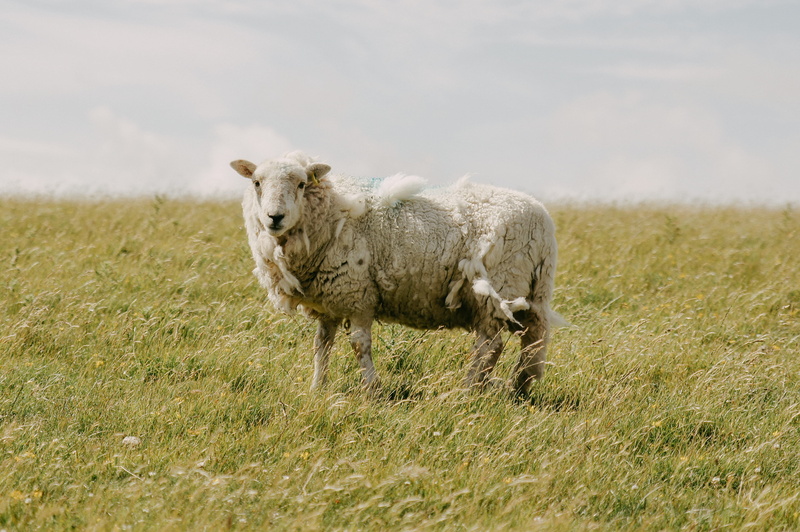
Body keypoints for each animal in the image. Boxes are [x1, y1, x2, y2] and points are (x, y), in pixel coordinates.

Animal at [230, 151, 566, 395]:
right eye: (257, 183)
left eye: (301, 184)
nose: (275, 217)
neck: (330, 213)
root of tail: (544, 222)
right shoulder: (329, 300)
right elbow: (321, 345)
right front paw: (316, 389)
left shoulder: (357, 294)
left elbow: (359, 344)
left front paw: (371, 390)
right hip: (529, 293)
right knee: (532, 343)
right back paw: (518, 388)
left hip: (497, 289)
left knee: (490, 346)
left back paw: (468, 390)